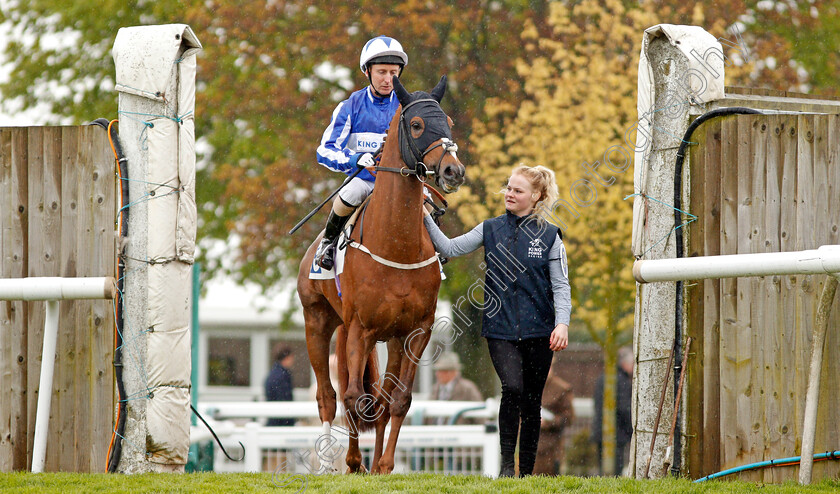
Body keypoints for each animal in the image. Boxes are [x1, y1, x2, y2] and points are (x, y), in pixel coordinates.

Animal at [296, 75, 466, 472]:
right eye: (417, 125)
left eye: (449, 122)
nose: (453, 171)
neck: (396, 244)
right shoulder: (360, 328)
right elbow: (354, 397)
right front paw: (353, 462)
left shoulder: (416, 330)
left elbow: (398, 400)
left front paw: (383, 465)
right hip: (319, 322)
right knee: (328, 395)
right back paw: (331, 463)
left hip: (385, 338)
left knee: (382, 400)